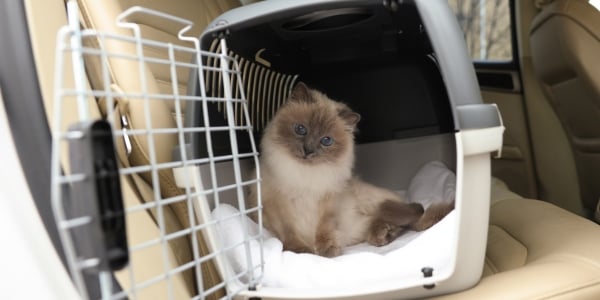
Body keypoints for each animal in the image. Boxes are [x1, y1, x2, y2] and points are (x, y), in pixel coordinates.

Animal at [247, 83, 426, 256]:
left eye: (326, 141)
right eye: (301, 129)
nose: (308, 150)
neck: (306, 174)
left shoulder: (329, 202)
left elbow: (325, 229)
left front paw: (327, 250)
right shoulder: (277, 206)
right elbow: (288, 233)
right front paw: (301, 251)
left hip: (372, 203)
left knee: (403, 218)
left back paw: (384, 234)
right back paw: (384, 235)